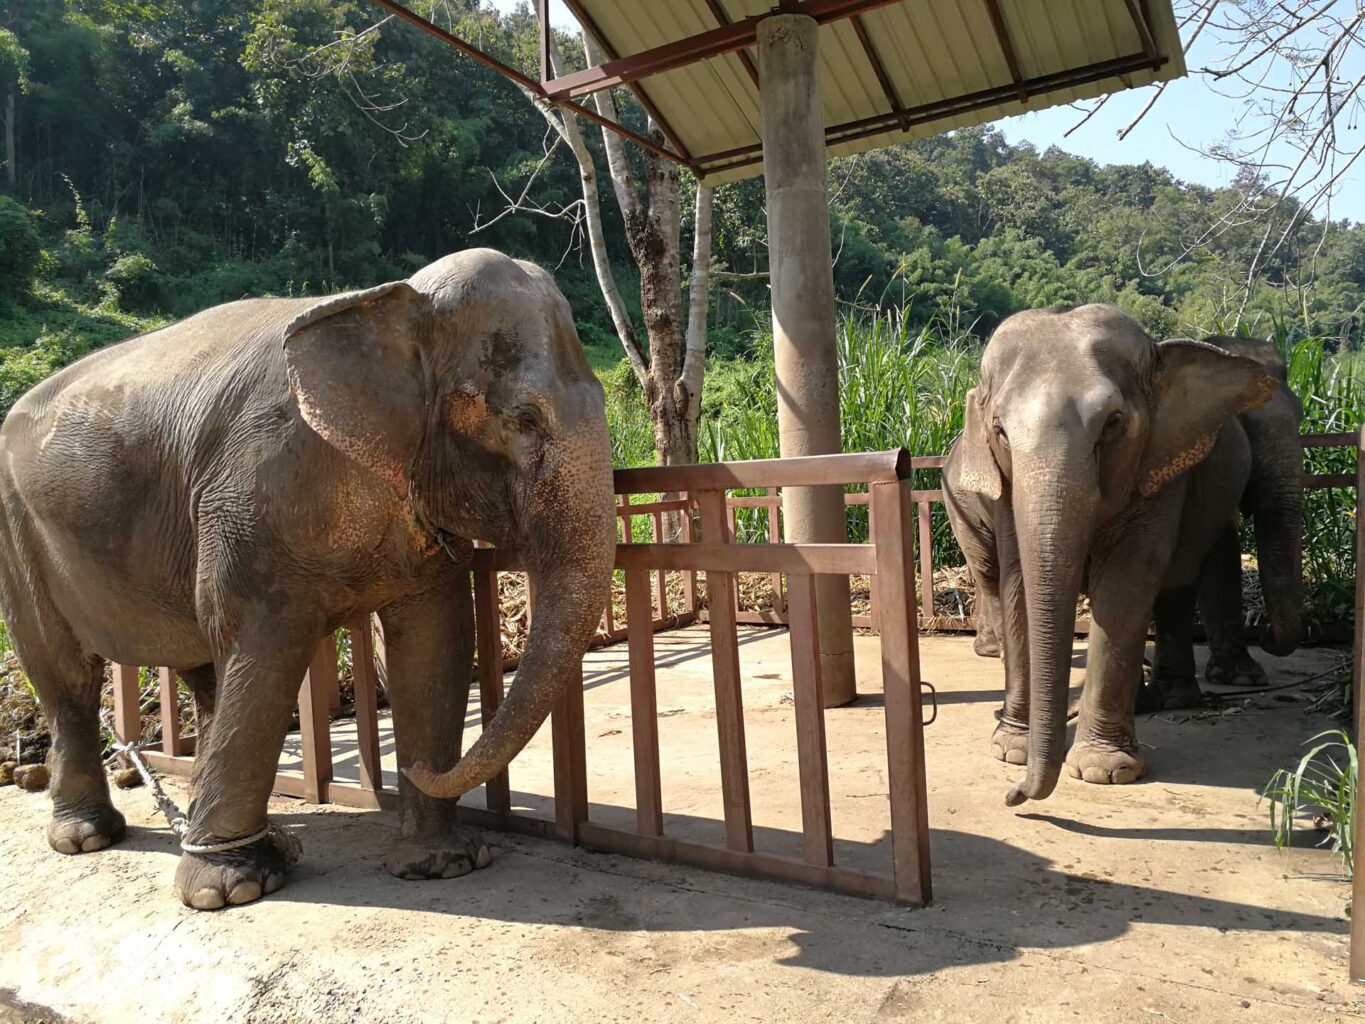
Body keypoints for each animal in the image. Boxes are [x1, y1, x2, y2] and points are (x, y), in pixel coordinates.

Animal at [0, 248, 616, 909]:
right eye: (524, 420)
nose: (419, 768)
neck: (387, 301)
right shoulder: (252, 490)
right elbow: (267, 643)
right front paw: (227, 892)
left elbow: (434, 640)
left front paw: (443, 865)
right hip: (17, 532)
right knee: (66, 674)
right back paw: (95, 839)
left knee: (202, 669)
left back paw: (241, 836)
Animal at [942, 305, 1278, 805]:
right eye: (1000, 430)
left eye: (1114, 422)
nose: (1014, 796)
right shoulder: (1004, 489)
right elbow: (1018, 581)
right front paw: (1011, 752)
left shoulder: (1159, 467)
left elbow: (1124, 585)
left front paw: (1105, 771)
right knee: (989, 575)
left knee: (1175, 583)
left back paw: (1161, 701)